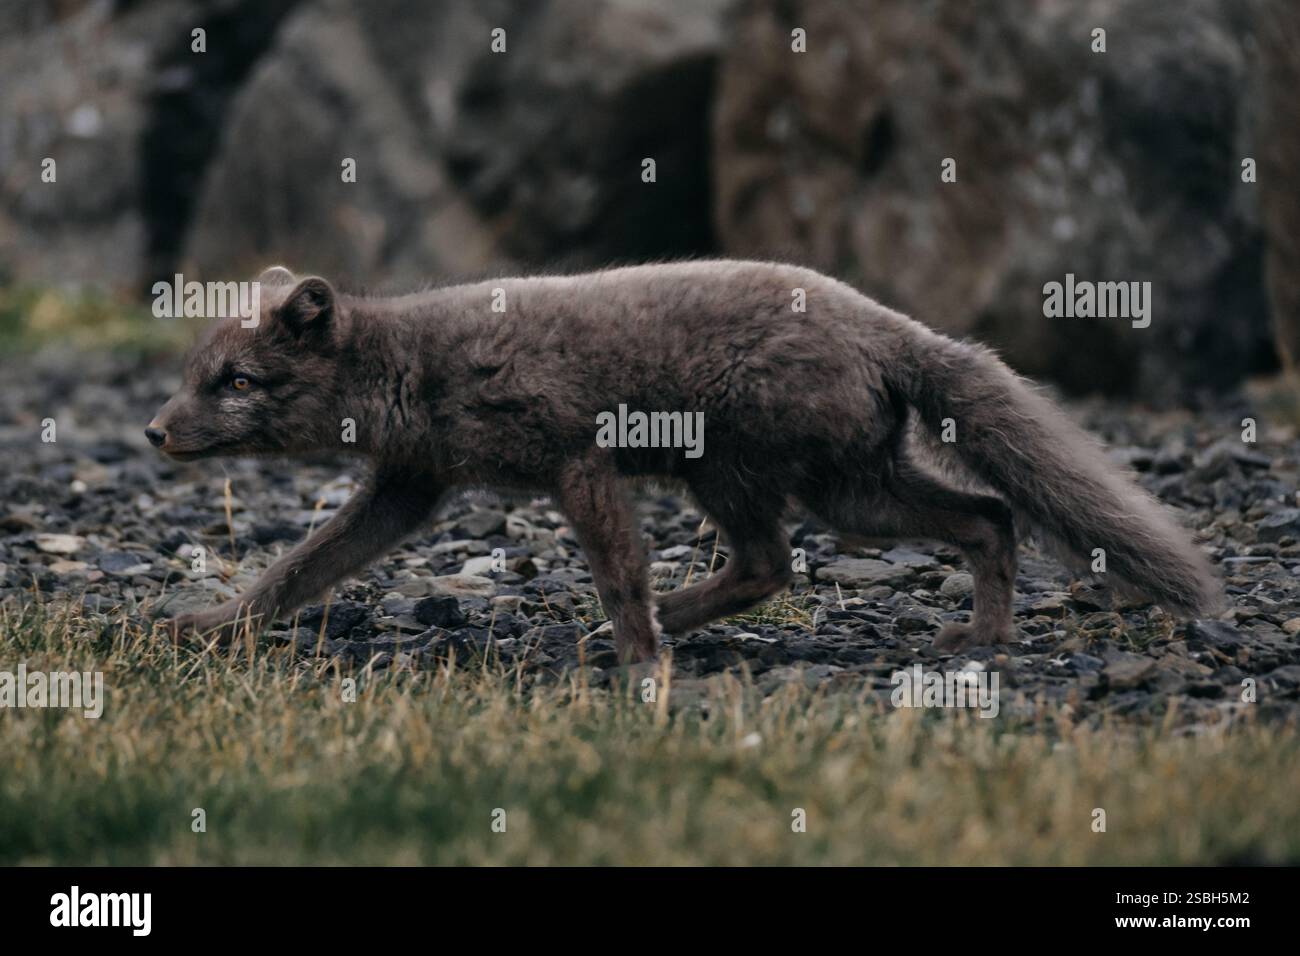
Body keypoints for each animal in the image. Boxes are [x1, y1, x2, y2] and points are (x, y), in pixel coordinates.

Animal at [149, 261, 1221, 662]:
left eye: (235, 381)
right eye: (193, 374)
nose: (155, 433)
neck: (415, 364)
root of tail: (891, 322)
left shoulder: (577, 462)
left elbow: (619, 574)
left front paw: (638, 661)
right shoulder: (407, 489)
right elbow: (297, 569)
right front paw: (212, 624)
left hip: (794, 487)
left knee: (802, 558)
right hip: (829, 486)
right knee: (964, 523)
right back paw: (979, 638)